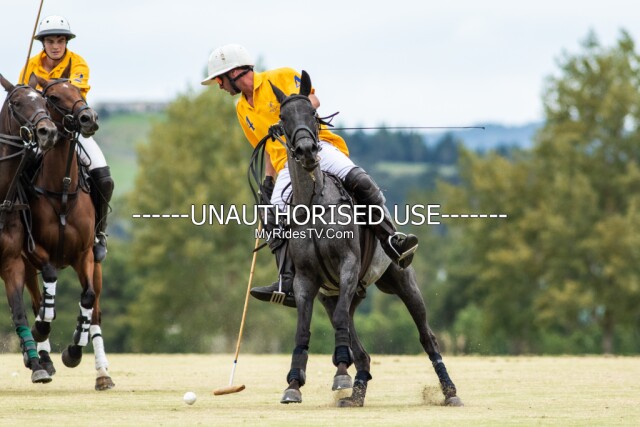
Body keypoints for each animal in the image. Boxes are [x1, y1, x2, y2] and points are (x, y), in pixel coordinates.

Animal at [22, 70, 115, 391]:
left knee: (95, 311)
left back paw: (103, 373)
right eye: (52, 97)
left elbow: (87, 298)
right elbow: (46, 289)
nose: (89, 118)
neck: (61, 188)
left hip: (97, 263)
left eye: (79, 90)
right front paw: (42, 331)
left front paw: (74, 350)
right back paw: (42, 356)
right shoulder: (33, 251)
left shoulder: (84, 254)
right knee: (37, 300)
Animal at [268, 71, 462, 407]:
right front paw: (293, 384)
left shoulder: (348, 265)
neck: (314, 204)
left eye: (313, 113)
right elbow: (303, 329)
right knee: (360, 346)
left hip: (402, 280)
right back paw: (356, 393)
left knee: (426, 335)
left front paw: (335, 374)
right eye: (283, 117)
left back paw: (449, 391)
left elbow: (341, 321)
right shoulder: (306, 281)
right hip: (333, 294)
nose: (307, 151)